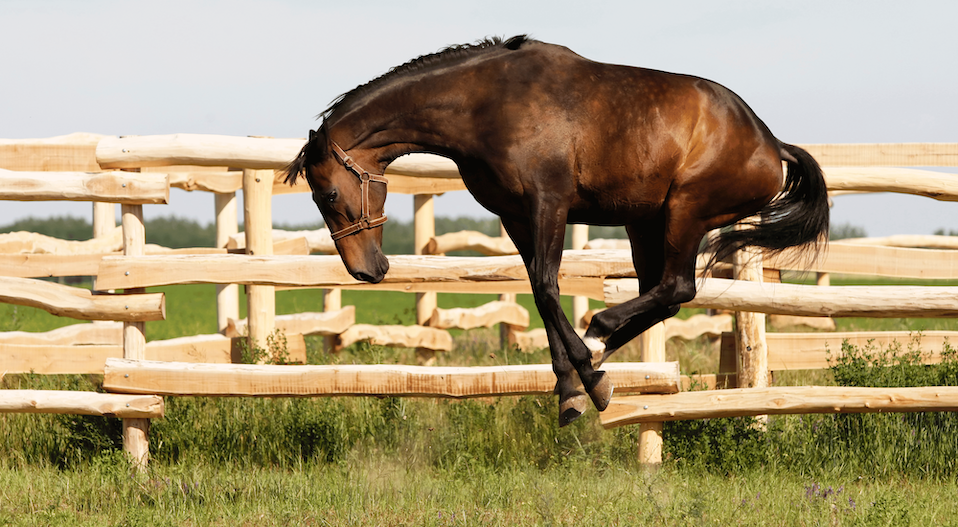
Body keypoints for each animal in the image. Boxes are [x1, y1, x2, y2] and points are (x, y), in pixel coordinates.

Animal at [285, 35, 829, 426]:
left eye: (327, 195)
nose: (366, 269)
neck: (485, 104)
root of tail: (769, 144)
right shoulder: (516, 217)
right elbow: (539, 291)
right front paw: (571, 392)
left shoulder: (549, 204)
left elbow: (547, 288)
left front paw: (590, 378)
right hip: (644, 223)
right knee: (664, 295)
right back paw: (600, 351)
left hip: (684, 212)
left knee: (676, 287)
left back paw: (600, 337)